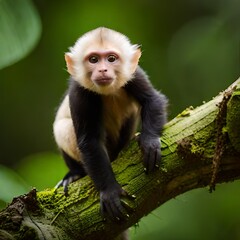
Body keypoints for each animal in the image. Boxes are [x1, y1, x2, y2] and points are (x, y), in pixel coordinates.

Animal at [53, 27, 168, 225]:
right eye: (93, 59)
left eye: (111, 58)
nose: (103, 69)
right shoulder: (78, 90)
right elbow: (89, 141)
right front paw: (110, 192)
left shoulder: (135, 73)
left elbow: (152, 100)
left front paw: (150, 142)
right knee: (62, 127)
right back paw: (75, 174)